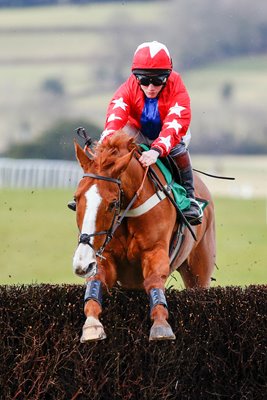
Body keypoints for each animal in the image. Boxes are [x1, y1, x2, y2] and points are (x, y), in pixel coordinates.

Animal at [72, 130, 217, 340]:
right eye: (76, 198)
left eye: (113, 203)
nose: (82, 265)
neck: (129, 209)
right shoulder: (104, 254)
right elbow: (96, 280)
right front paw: (92, 325)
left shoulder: (154, 251)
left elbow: (154, 280)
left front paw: (161, 325)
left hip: (199, 271)